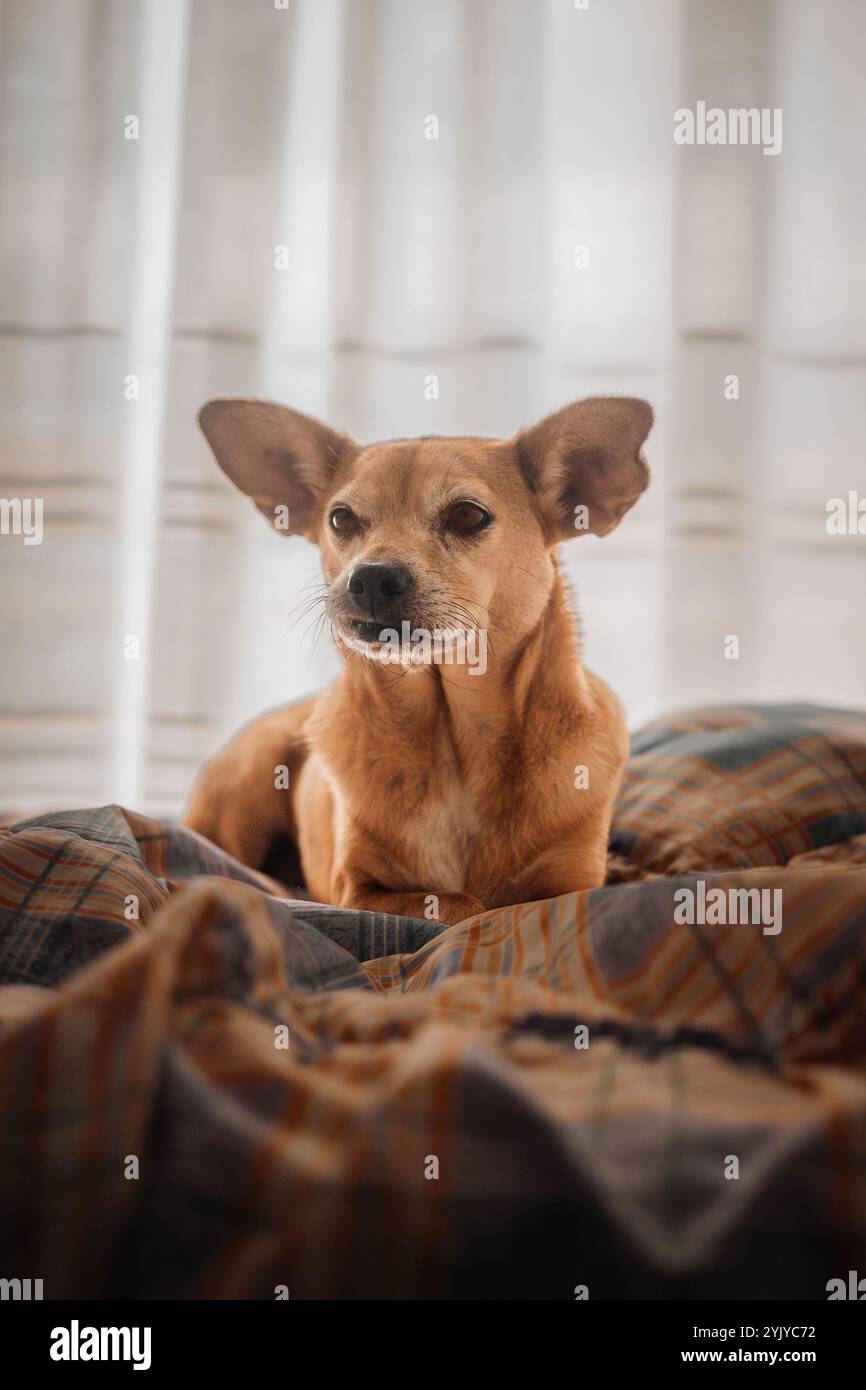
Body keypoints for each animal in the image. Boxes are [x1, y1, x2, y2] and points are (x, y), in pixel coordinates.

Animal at [186, 397, 653, 928]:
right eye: (341, 519)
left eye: (468, 515)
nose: (369, 578)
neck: (453, 739)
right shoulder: (360, 892)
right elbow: (461, 904)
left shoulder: (570, 887)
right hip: (250, 780)